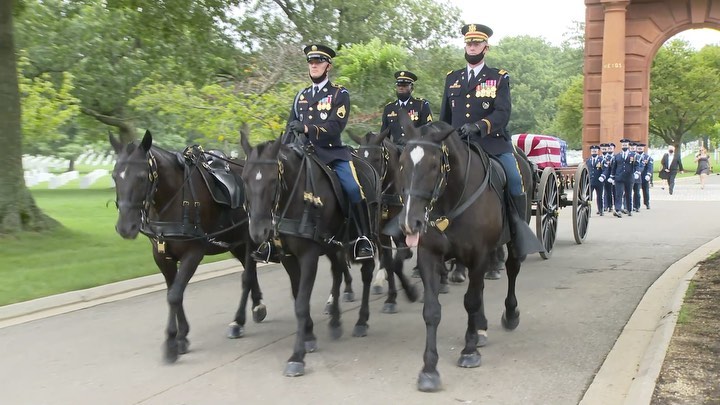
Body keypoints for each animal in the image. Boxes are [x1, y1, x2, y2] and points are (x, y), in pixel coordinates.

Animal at [108, 131, 262, 362]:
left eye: (142, 176)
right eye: (115, 176)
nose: (126, 227)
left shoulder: (193, 253)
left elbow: (174, 295)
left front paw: (172, 342)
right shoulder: (162, 256)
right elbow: (173, 292)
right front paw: (182, 336)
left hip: (250, 239)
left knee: (247, 277)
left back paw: (239, 320)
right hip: (235, 243)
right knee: (249, 274)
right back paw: (258, 305)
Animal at [239, 129, 380, 376]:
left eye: (272, 180)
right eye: (244, 178)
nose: (258, 232)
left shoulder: (309, 256)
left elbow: (302, 303)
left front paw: (297, 356)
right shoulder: (288, 257)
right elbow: (298, 296)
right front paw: (309, 335)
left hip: (364, 237)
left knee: (366, 273)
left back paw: (361, 321)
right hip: (333, 245)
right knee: (337, 273)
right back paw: (335, 321)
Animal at [350, 131, 420, 310]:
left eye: (377, 158)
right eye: (359, 155)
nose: (367, 186)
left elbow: (396, 262)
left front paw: (410, 292)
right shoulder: (382, 231)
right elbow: (389, 262)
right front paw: (391, 298)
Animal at [396, 118, 536, 390]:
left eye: (433, 165)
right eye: (403, 163)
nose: (410, 223)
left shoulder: (479, 254)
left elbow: (470, 300)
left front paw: (469, 351)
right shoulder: (429, 255)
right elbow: (432, 310)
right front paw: (429, 369)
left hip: (511, 241)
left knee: (511, 270)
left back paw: (509, 314)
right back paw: (480, 326)